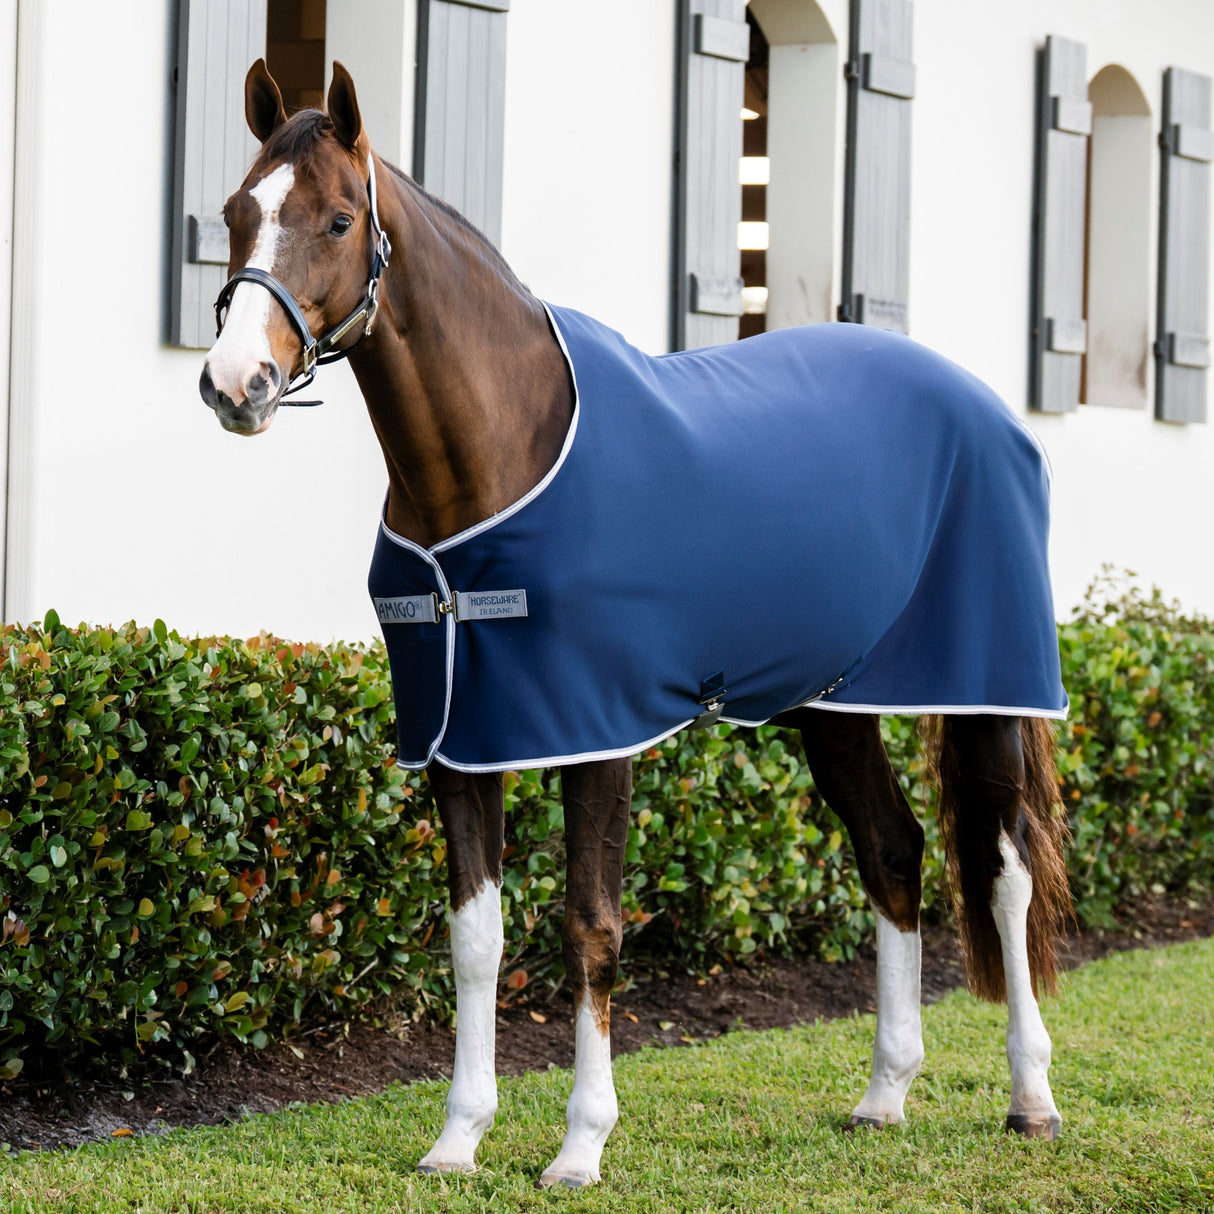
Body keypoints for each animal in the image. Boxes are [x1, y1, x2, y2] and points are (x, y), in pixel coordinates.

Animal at [199, 59, 1073, 1188]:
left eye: (341, 218)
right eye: (235, 212)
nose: (235, 383)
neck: (501, 453)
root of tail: (986, 406)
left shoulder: (596, 731)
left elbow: (591, 928)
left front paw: (579, 1144)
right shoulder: (460, 738)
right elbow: (475, 939)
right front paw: (458, 1136)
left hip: (988, 689)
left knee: (1006, 873)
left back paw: (1031, 1097)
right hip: (834, 706)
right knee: (893, 849)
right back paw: (883, 1094)